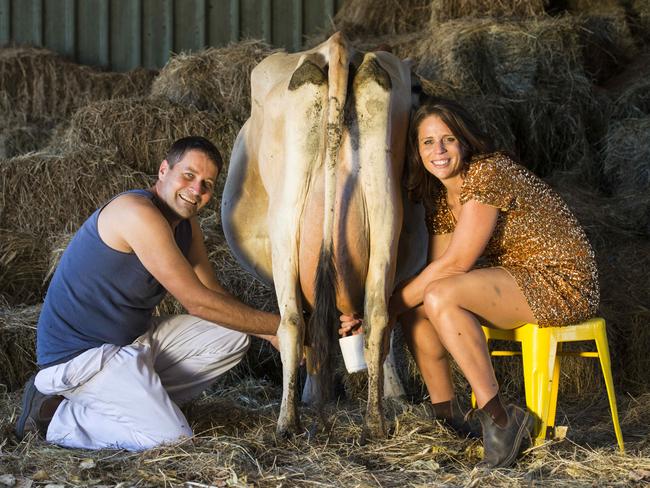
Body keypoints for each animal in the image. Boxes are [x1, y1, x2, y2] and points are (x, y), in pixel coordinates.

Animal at [220, 32, 428, 440]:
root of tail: (337, 44)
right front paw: (395, 395)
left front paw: (314, 393)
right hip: (385, 213)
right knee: (378, 316)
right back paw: (375, 421)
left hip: (285, 223)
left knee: (292, 323)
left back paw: (288, 422)